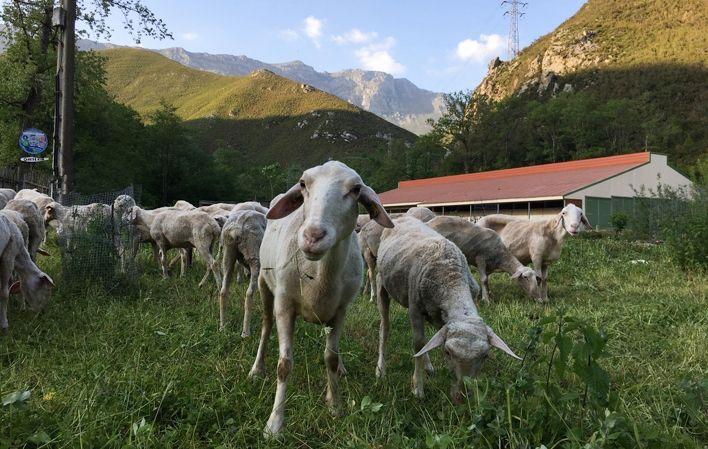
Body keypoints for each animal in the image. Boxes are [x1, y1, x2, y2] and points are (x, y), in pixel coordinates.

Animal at [248, 161, 392, 438]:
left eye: (356, 189)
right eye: (303, 183)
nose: (313, 236)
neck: (318, 274)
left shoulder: (340, 310)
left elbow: (330, 358)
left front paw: (335, 405)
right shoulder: (284, 306)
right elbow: (285, 365)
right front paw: (274, 425)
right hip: (264, 285)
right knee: (265, 325)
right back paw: (257, 368)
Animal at [376, 215, 520, 400]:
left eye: (485, 356)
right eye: (448, 352)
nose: (463, 395)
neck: (450, 276)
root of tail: (402, 216)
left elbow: (427, 341)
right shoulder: (415, 309)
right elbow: (418, 343)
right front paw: (418, 388)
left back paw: (428, 365)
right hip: (381, 284)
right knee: (385, 328)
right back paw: (381, 369)